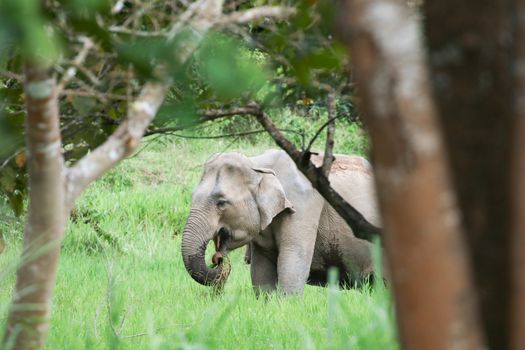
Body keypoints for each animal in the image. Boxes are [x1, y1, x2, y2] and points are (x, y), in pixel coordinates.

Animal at [181, 149, 380, 294]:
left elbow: (293, 260)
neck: (257, 164)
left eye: (221, 202)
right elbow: (261, 270)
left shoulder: (303, 205)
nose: (218, 259)